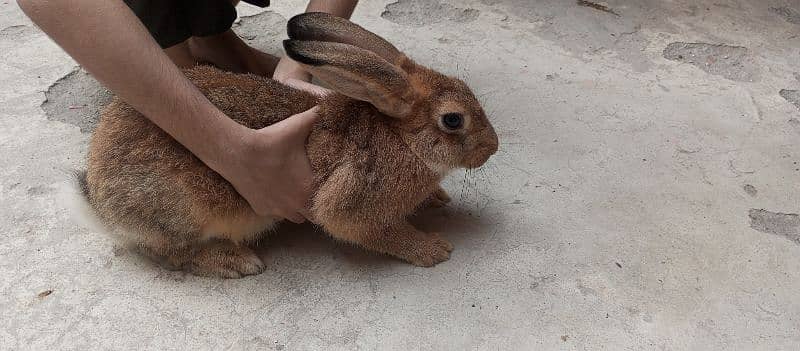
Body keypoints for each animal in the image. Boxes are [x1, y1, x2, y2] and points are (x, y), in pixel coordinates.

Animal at [78, 12, 496, 280]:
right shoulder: (353, 201)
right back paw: (235, 263)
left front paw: (437, 198)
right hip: (182, 211)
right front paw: (433, 249)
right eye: (453, 120)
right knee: (168, 252)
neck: (403, 139)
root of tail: (99, 196)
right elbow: (371, 230)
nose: (492, 147)